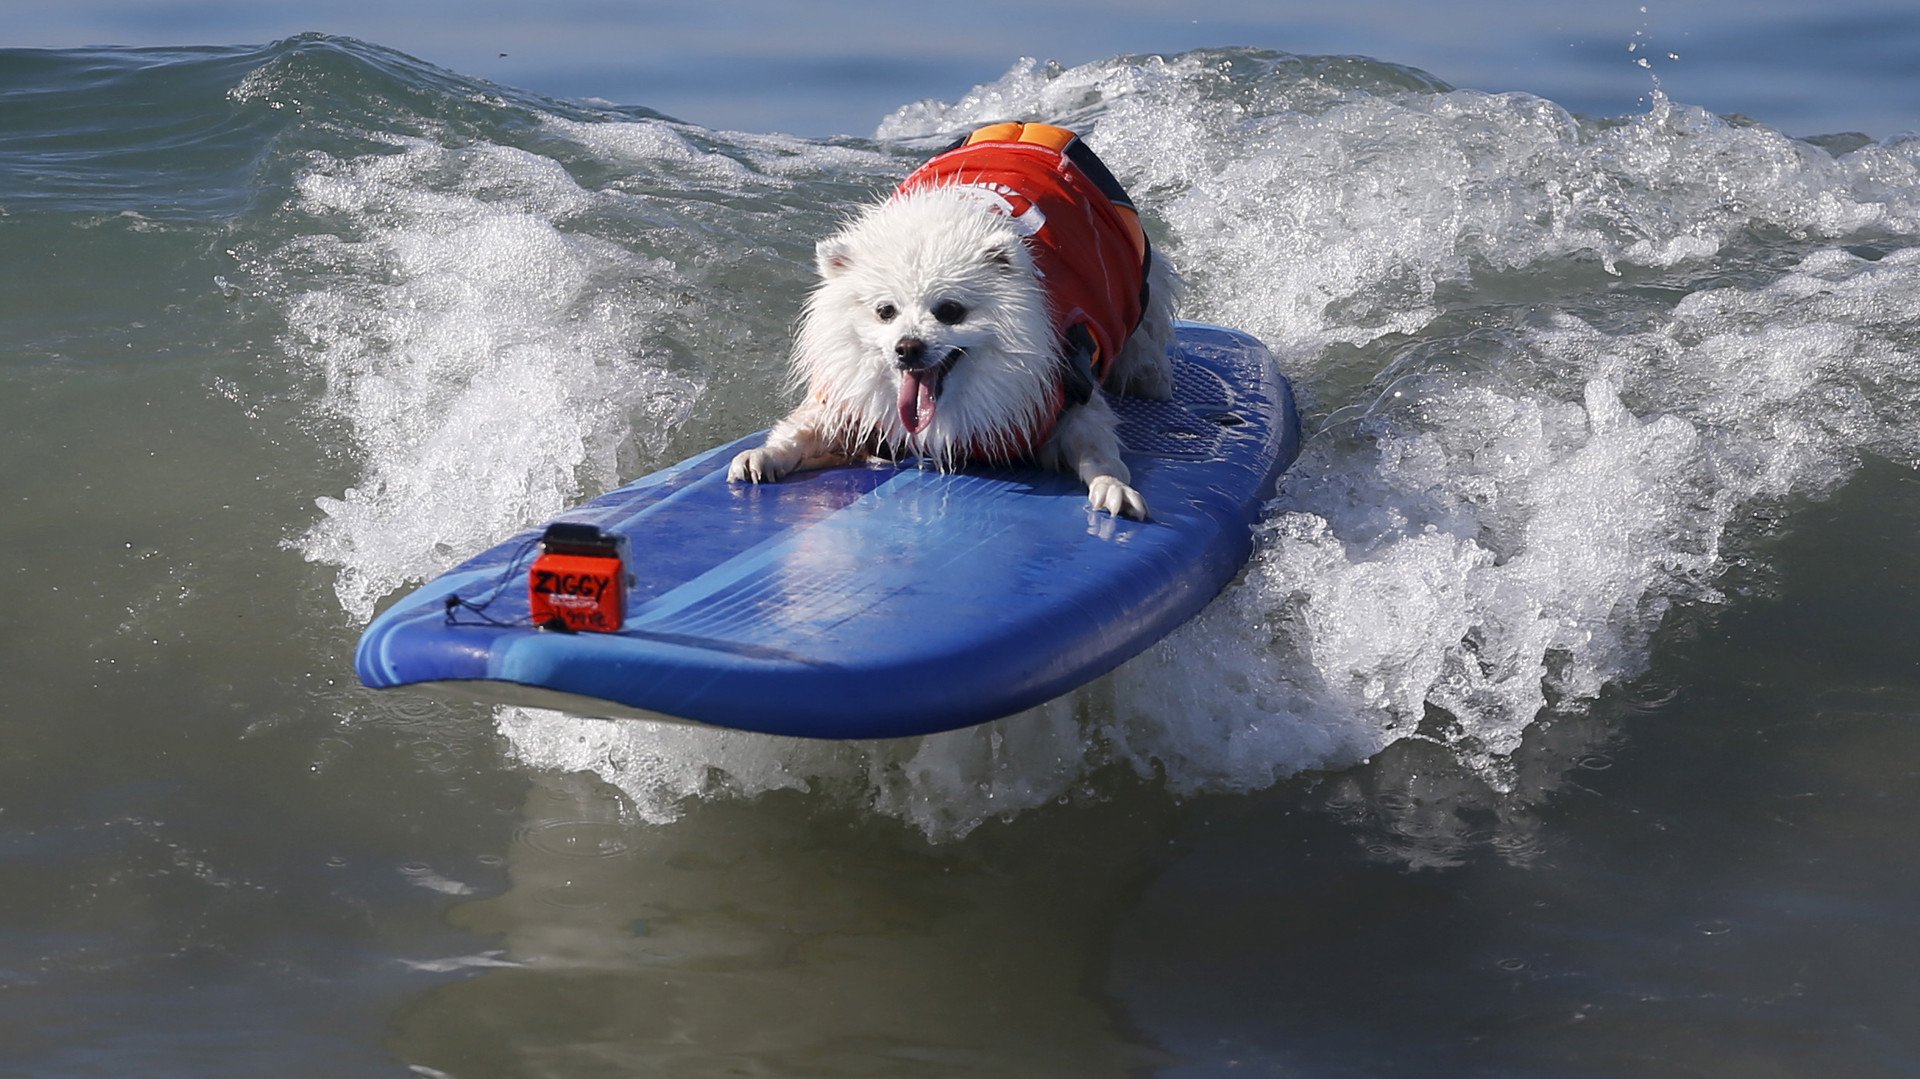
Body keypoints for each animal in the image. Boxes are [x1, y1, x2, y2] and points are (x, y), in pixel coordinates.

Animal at [725, 121, 1175, 518]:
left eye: (949, 311)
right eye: (885, 311)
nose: (907, 348)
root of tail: (1030, 129)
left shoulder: (1065, 390)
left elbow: (1098, 451)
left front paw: (1114, 488)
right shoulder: (854, 403)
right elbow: (801, 429)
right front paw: (762, 455)